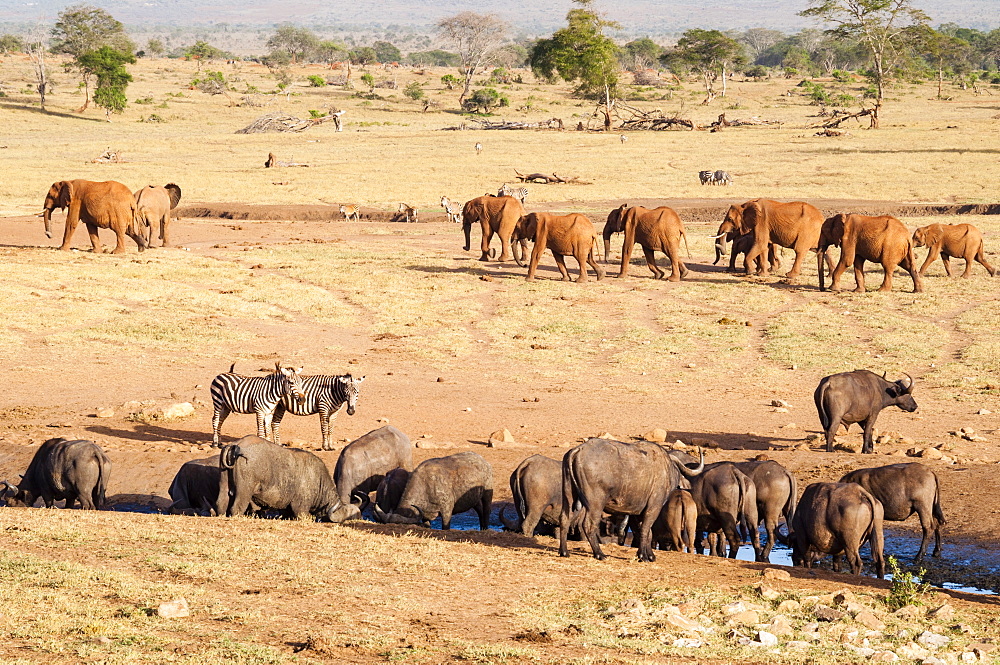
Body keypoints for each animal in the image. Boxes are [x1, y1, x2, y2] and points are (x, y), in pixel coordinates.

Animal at [217, 436, 358, 524]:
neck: (318, 481)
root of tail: (237, 444)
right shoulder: (300, 509)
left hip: (224, 484)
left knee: (220, 504)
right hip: (244, 492)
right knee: (237, 508)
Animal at [560, 438, 708, 564]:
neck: (665, 469)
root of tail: (579, 450)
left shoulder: (637, 514)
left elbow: (645, 532)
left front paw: (648, 555)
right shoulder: (653, 508)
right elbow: (645, 530)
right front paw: (643, 556)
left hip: (569, 496)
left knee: (564, 519)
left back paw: (564, 552)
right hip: (595, 504)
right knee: (589, 525)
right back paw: (599, 554)